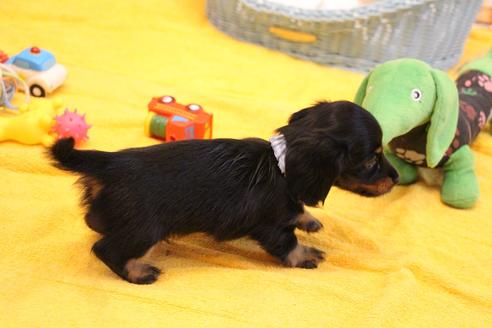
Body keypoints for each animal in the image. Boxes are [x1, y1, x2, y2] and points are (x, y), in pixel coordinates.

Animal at [49, 101, 396, 284]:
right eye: (371, 161)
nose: (394, 179)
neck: (281, 164)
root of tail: (110, 163)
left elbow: (297, 211)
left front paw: (307, 218)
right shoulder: (269, 226)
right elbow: (288, 243)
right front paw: (305, 255)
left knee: (94, 222)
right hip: (145, 229)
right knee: (105, 249)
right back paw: (137, 272)